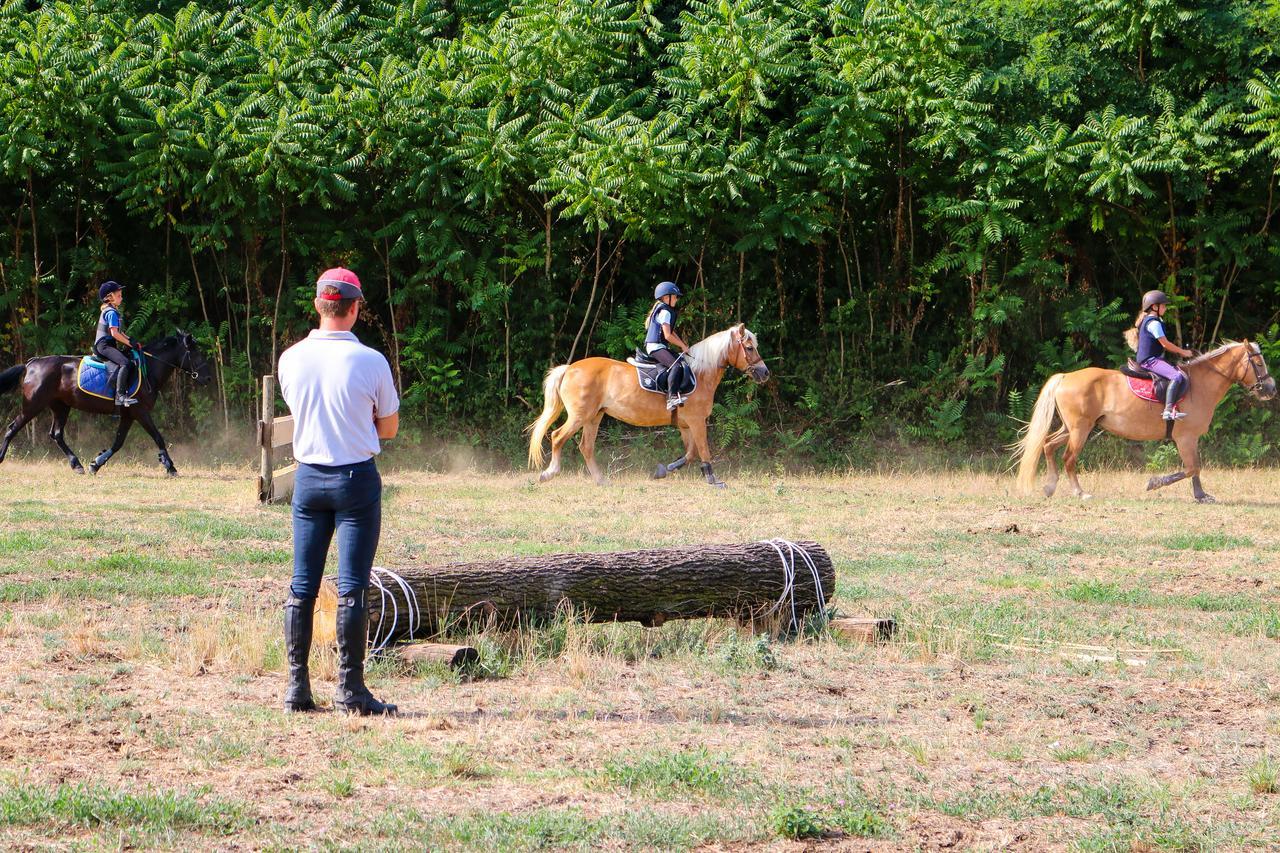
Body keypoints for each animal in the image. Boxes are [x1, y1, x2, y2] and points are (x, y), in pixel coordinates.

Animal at [0, 333, 212, 473]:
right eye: (196, 354)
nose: (208, 378)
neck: (148, 370)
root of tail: (31, 364)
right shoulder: (140, 412)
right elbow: (158, 437)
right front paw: (170, 466)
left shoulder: (128, 414)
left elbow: (118, 442)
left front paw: (96, 463)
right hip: (34, 405)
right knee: (12, 428)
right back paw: (2, 457)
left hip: (61, 406)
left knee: (57, 434)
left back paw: (77, 465)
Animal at [529, 322, 768, 484]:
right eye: (749, 348)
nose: (765, 372)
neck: (700, 374)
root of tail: (569, 368)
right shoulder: (697, 421)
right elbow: (703, 450)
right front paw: (713, 480)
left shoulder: (686, 425)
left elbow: (690, 453)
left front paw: (665, 469)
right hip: (580, 416)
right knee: (557, 436)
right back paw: (549, 473)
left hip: (594, 417)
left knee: (585, 446)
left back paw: (601, 480)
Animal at [1013, 338, 1274, 499]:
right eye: (1258, 362)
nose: (1271, 389)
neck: (1199, 385)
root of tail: (1066, 377)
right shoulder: (1186, 437)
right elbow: (1191, 468)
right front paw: (1155, 483)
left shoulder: (1191, 439)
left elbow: (1195, 469)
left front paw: (1201, 495)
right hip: (1080, 429)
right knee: (1069, 458)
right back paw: (1079, 492)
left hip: (1072, 427)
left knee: (1048, 445)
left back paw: (1050, 486)